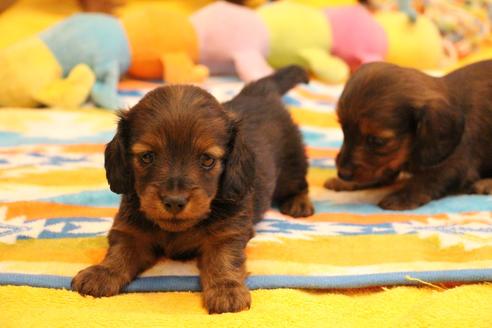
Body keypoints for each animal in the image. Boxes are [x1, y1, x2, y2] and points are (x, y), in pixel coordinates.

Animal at [71, 66, 314, 312]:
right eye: (147, 157)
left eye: (207, 159)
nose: (174, 201)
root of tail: (260, 91)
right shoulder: (131, 229)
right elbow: (121, 250)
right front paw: (102, 273)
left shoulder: (228, 231)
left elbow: (223, 258)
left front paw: (226, 289)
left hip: (291, 166)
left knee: (299, 183)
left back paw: (298, 203)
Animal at [324, 60, 492, 210]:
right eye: (344, 130)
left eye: (378, 141)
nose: (343, 174)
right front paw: (344, 183)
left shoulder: (454, 165)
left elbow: (425, 180)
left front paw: (401, 197)